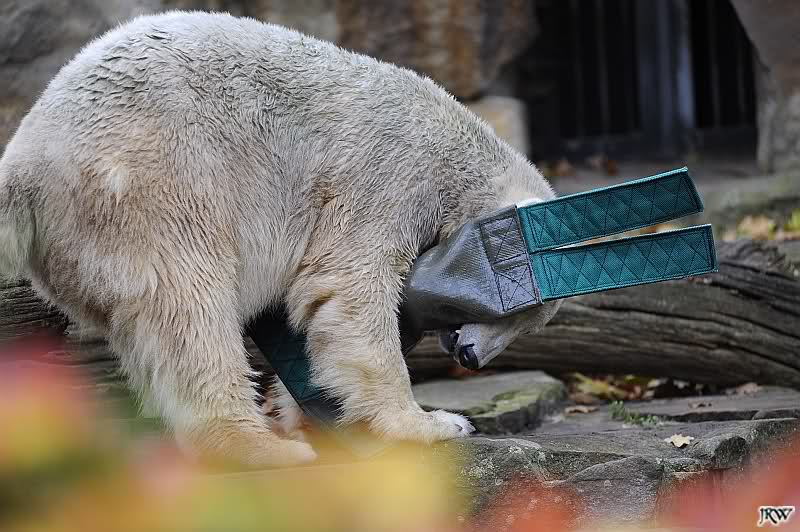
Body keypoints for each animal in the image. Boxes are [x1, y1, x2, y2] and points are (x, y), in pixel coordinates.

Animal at [0, 11, 558, 467]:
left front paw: (309, 411)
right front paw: (432, 424)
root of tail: (25, 159)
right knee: (192, 308)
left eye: (528, 324)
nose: (470, 357)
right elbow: (349, 288)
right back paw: (263, 447)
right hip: (154, 184)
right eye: (514, 311)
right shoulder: (389, 178)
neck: (459, 150)